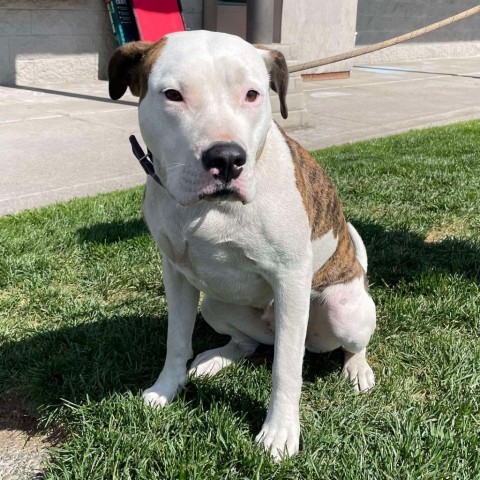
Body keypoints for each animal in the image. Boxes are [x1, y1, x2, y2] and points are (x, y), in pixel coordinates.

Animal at [108, 31, 376, 462]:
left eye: (252, 94)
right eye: (173, 95)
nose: (227, 158)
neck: (211, 209)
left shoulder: (291, 279)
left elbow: (286, 368)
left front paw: (279, 432)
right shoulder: (175, 273)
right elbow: (175, 339)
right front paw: (166, 388)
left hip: (342, 309)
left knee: (350, 344)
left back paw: (357, 369)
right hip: (215, 304)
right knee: (246, 342)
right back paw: (216, 359)